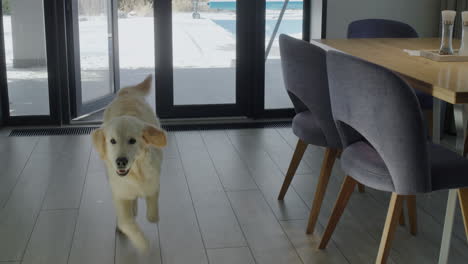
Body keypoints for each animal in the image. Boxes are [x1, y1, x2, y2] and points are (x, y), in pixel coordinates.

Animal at [91, 75, 166, 253]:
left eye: (132, 141)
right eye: (112, 141)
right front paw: (143, 244)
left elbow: (152, 213)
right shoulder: (120, 194)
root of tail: (125, 92)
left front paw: (153, 213)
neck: (135, 173)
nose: (121, 161)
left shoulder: (154, 180)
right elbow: (127, 223)